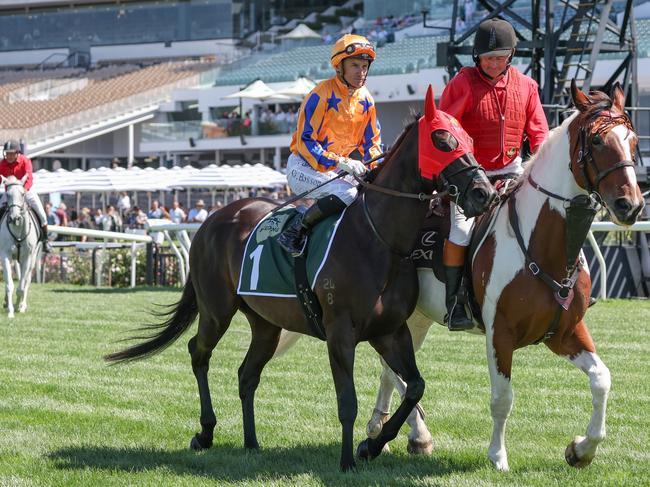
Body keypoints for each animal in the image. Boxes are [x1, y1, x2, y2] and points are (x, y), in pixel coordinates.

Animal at [104, 87, 496, 472]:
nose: (485, 193)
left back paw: (251, 442)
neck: (378, 238)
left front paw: (372, 446)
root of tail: (213, 218)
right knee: (198, 354)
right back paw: (205, 432)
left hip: (265, 322)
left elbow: (415, 385)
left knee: (247, 374)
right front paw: (347, 462)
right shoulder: (340, 333)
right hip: (216, 310)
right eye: (442, 139)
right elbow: (348, 402)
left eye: (470, 140)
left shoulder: (390, 330)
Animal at [356, 81, 644, 472]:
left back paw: (392, 431)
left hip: (416, 319)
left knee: (391, 370)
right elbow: (502, 398)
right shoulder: (500, 334)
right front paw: (497, 456)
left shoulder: (565, 333)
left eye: (633, 141)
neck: (544, 246)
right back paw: (410, 433)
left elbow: (602, 380)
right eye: (598, 141)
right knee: (397, 371)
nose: (631, 205)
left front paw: (582, 449)